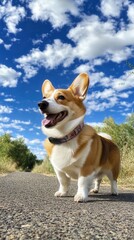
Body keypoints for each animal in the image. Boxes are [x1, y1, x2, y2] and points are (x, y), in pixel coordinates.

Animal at [38, 73, 120, 202]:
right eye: (44, 97)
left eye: (61, 97)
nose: (41, 104)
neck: (65, 137)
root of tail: (110, 140)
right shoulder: (59, 170)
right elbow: (63, 182)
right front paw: (62, 192)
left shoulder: (86, 169)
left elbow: (81, 183)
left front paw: (81, 196)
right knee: (98, 179)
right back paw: (95, 189)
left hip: (113, 169)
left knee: (113, 181)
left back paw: (114, 191)